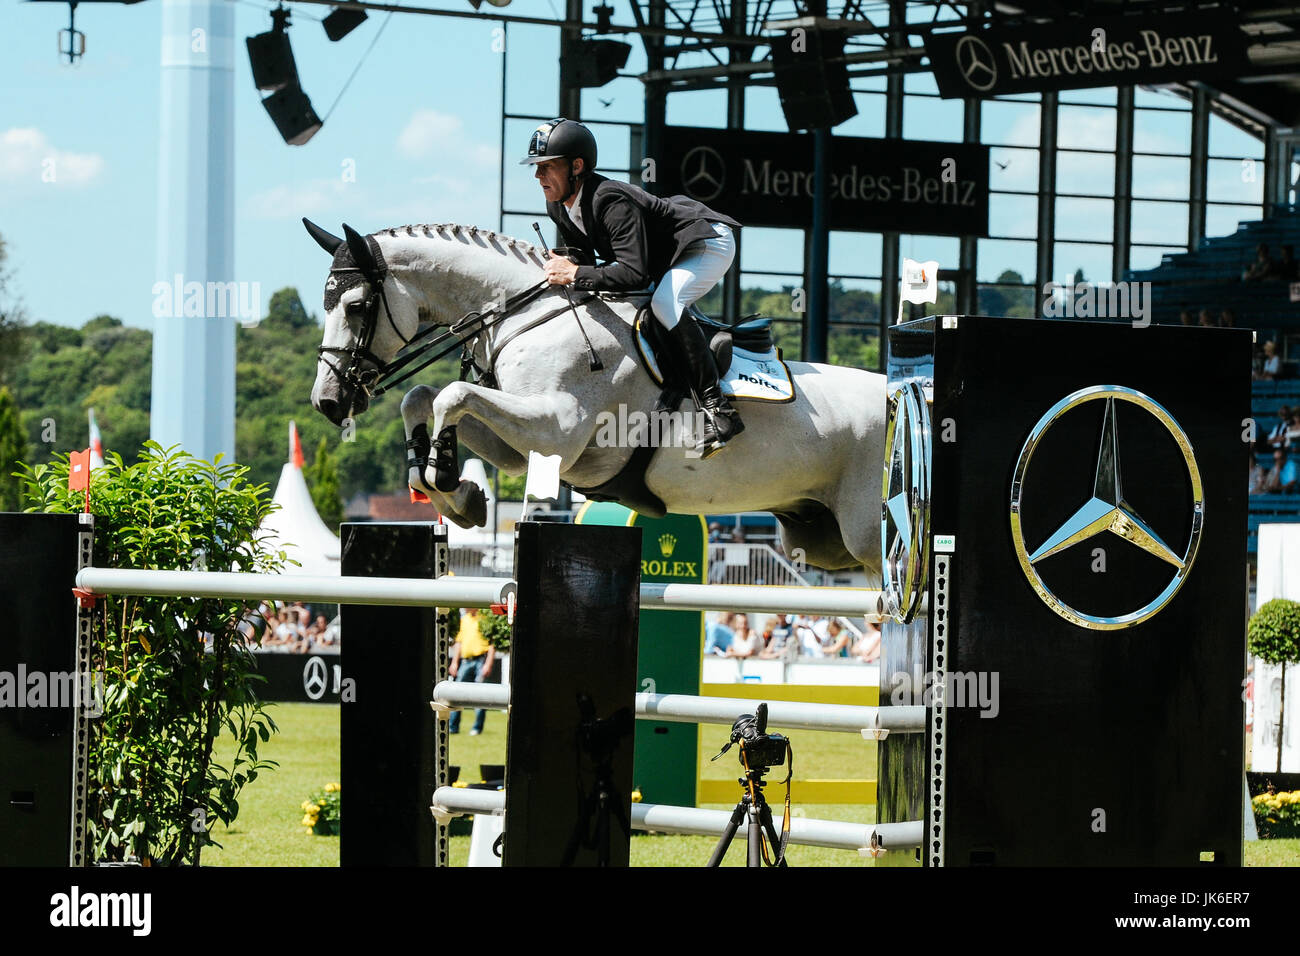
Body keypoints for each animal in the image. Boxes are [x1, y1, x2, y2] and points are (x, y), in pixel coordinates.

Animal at [306, 218, 883, 574]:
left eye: (355, 307)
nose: (327, 403)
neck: (525, 315)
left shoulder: (557, 429)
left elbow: (450, 394)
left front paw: (446, 477)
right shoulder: (523, 447)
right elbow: (423, 397)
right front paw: (455, 493)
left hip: (868, 536)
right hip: (817, 541)